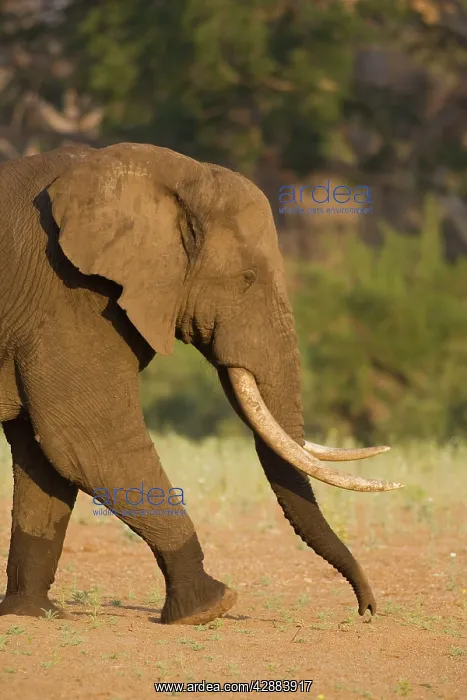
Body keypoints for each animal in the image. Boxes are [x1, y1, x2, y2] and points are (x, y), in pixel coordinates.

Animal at [0, 142, 402, 624]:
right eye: (246, 279)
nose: (367, 609)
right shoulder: (68, 294)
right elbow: (88, 442)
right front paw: (210, 606)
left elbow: (43, 456)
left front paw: (32, 614)